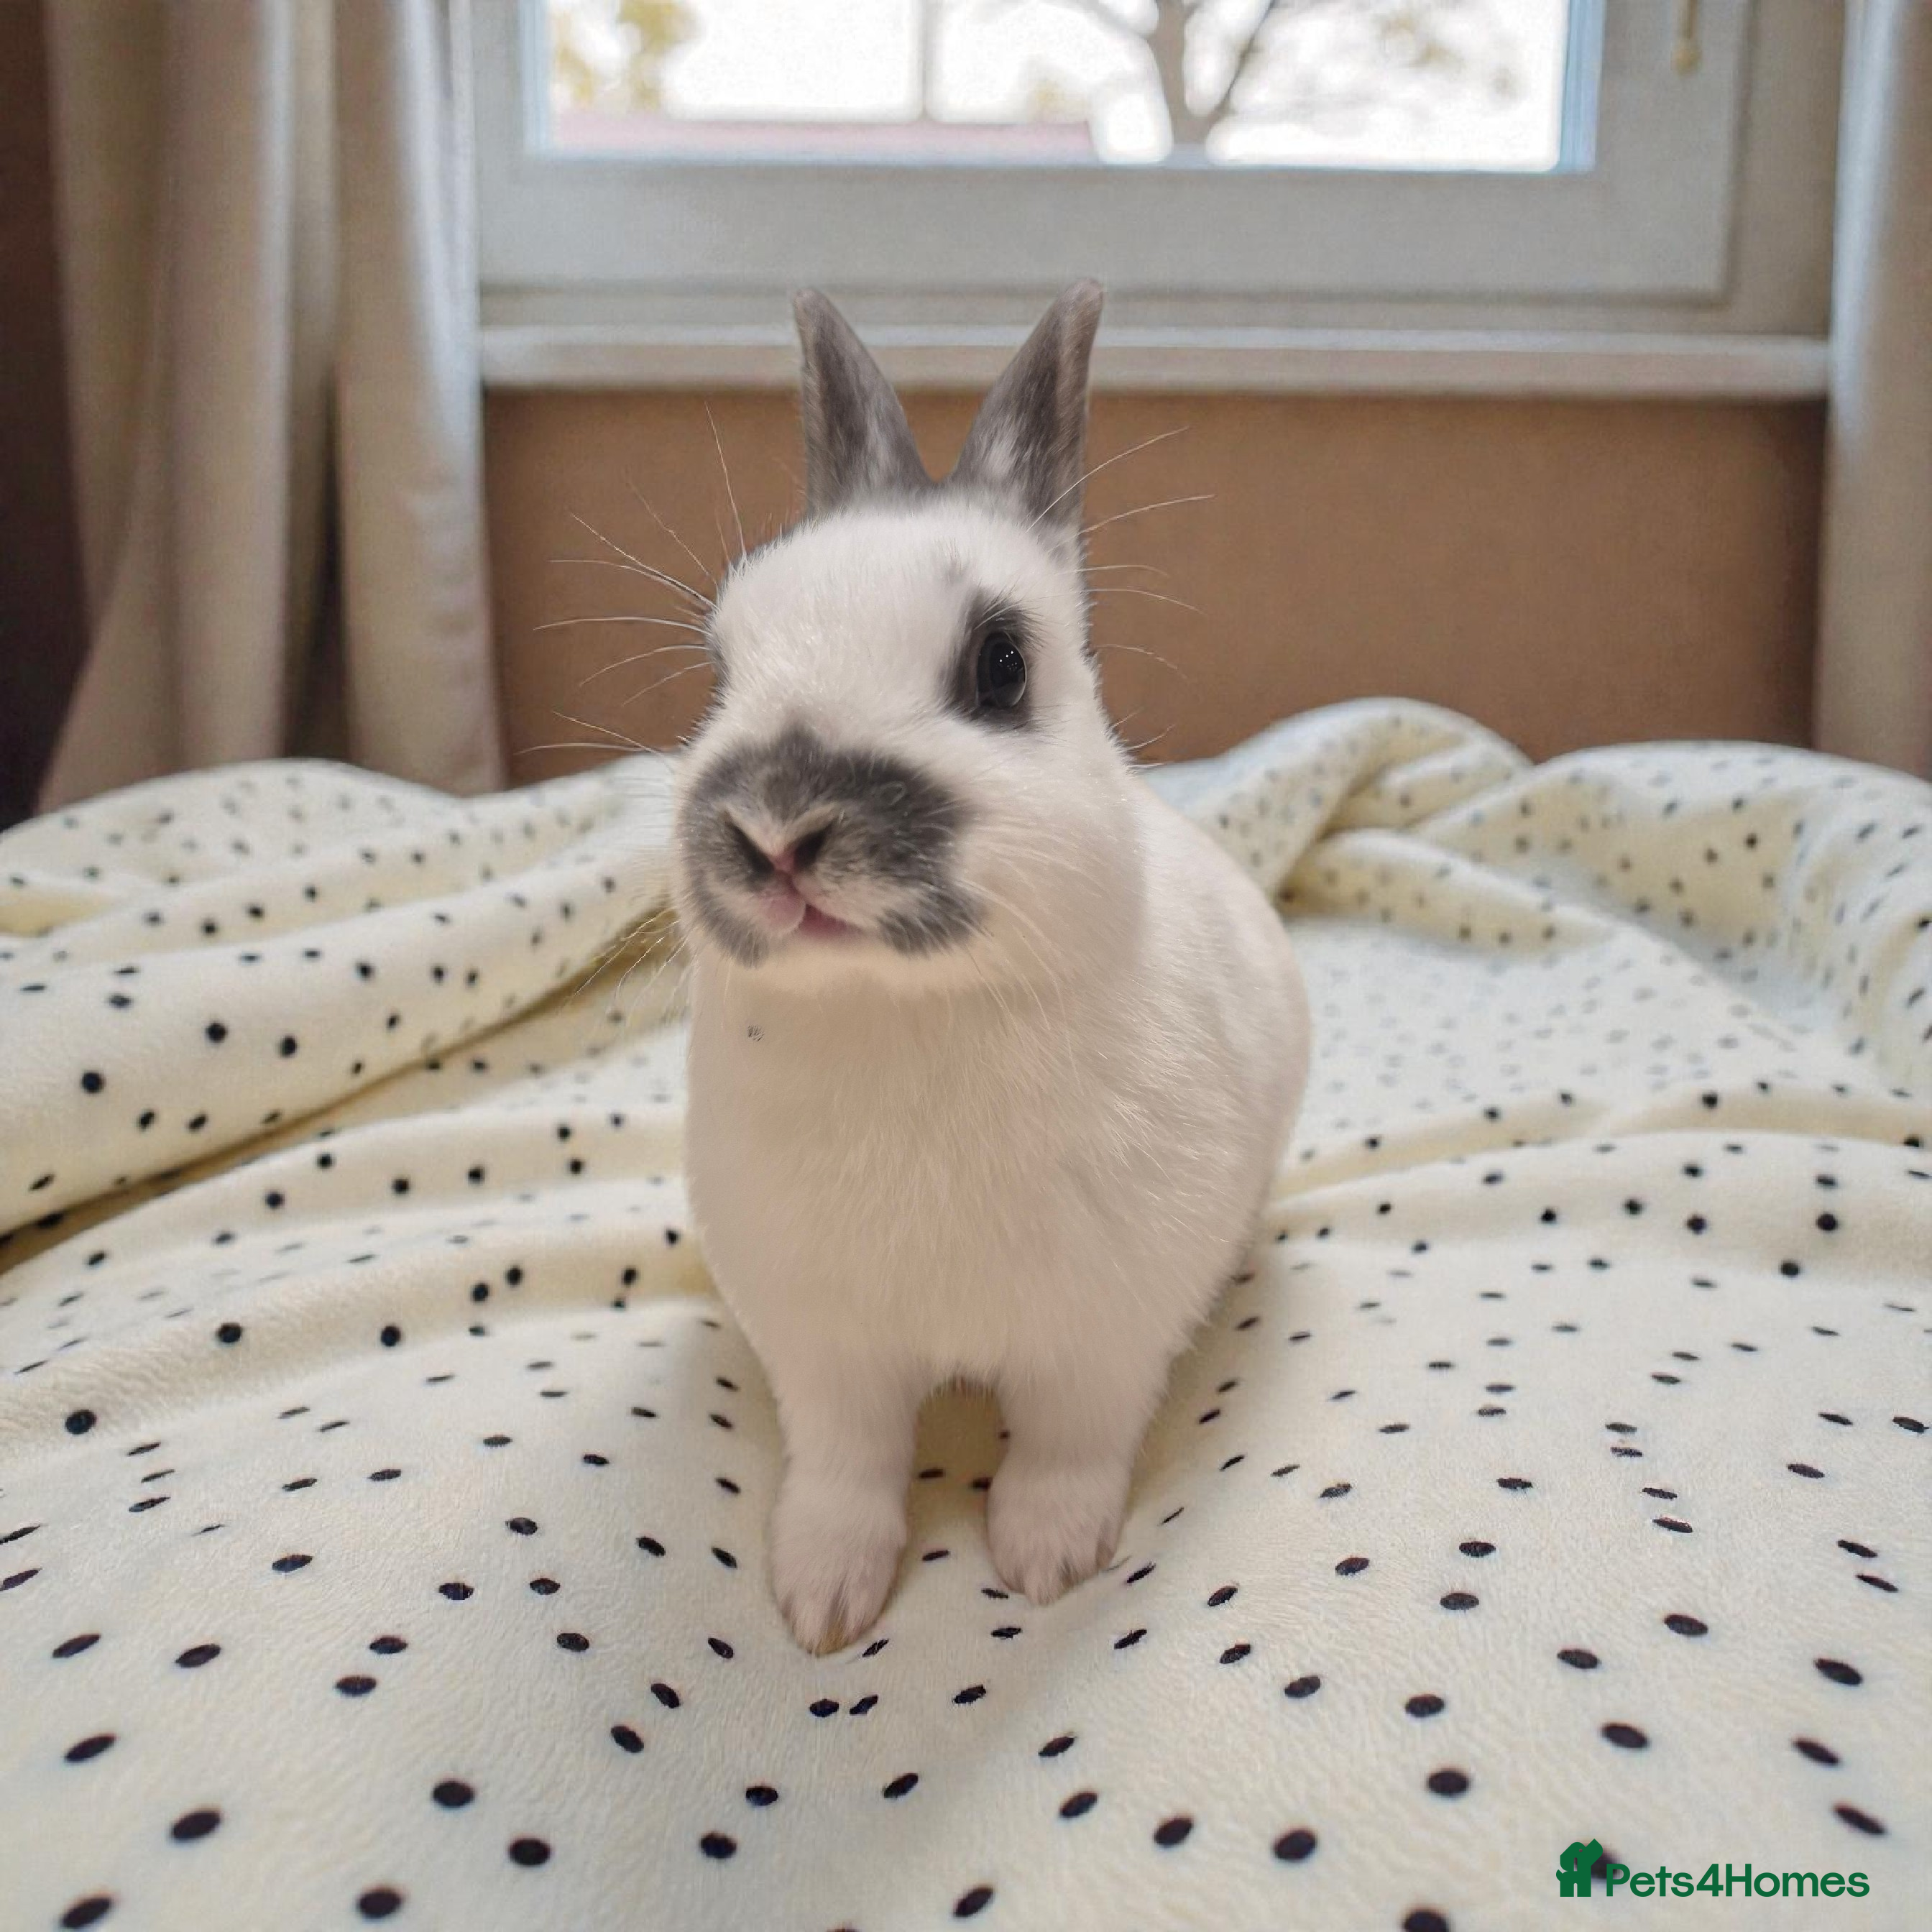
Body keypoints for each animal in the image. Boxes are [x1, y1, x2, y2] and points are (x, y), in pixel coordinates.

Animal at [672, 282, 1310, 1654]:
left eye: (1001, 665)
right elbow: (847, 1470)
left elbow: (1066, 1452)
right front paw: (821, 1602)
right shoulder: (827, 1356)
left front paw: (1045, 1561)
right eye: (720, 665)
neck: (906, 1011)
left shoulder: (1100, 1344)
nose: (776, 830)